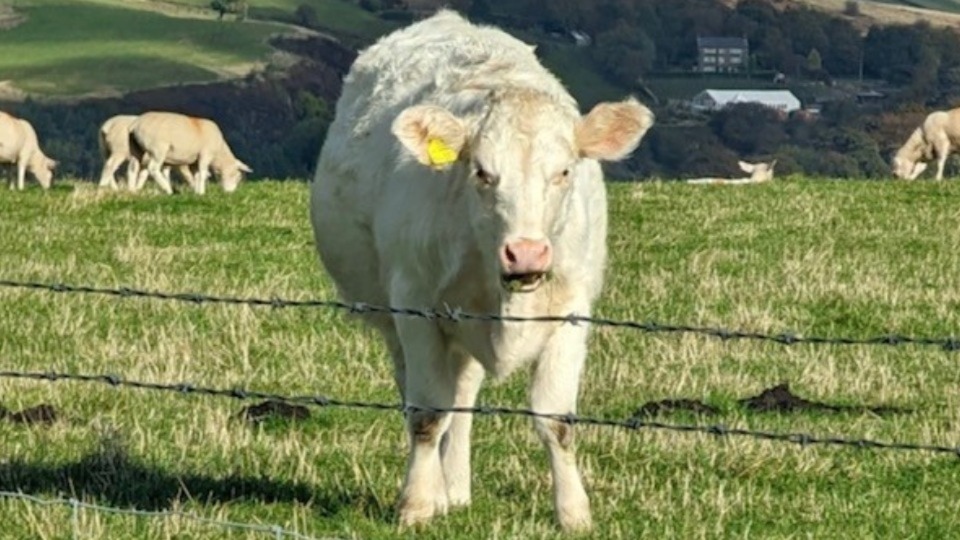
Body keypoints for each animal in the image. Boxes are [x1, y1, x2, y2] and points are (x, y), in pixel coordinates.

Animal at [312, 9, 656, 532]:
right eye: (482, 172)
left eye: (564, 172)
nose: (527, 254)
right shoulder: (415, 307)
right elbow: (427, 414)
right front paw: (417, 504)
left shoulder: (573, 310)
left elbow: (556, 419)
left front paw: (574, 512)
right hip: (397, 320)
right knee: (422, 395)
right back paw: (437, 490)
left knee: (464, 394)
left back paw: (455, 489)